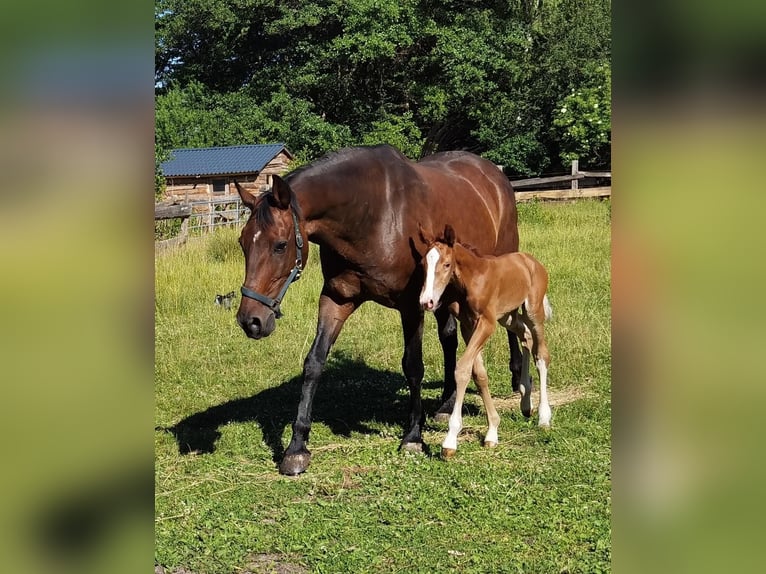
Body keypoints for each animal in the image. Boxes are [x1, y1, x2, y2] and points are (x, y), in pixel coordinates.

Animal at [233, 144, 523, 475]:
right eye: (242, 243)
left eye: (280, 245)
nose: (251, 321)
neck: (372, 215)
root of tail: (494, 175)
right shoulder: (336, 299)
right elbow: (314, 364)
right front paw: (297, 449)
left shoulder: (411, 306)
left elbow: (413, 367)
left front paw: (412, 437)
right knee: (449, 338)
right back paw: (446, 404)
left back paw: (518, 379)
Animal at [418, 224, 553, 459]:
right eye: (424, 264)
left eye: (446, 264)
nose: (427, 302)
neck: (472, 278)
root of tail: (531, 262)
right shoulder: (468, 324)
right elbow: (478, 374)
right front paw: (492, 432)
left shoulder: (487, 324)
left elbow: (462, 369)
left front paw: (450, 440)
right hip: (508, 316)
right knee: (525, 336)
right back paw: (525, 402)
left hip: (533, 311)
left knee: (541, 354)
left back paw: (544, 417)